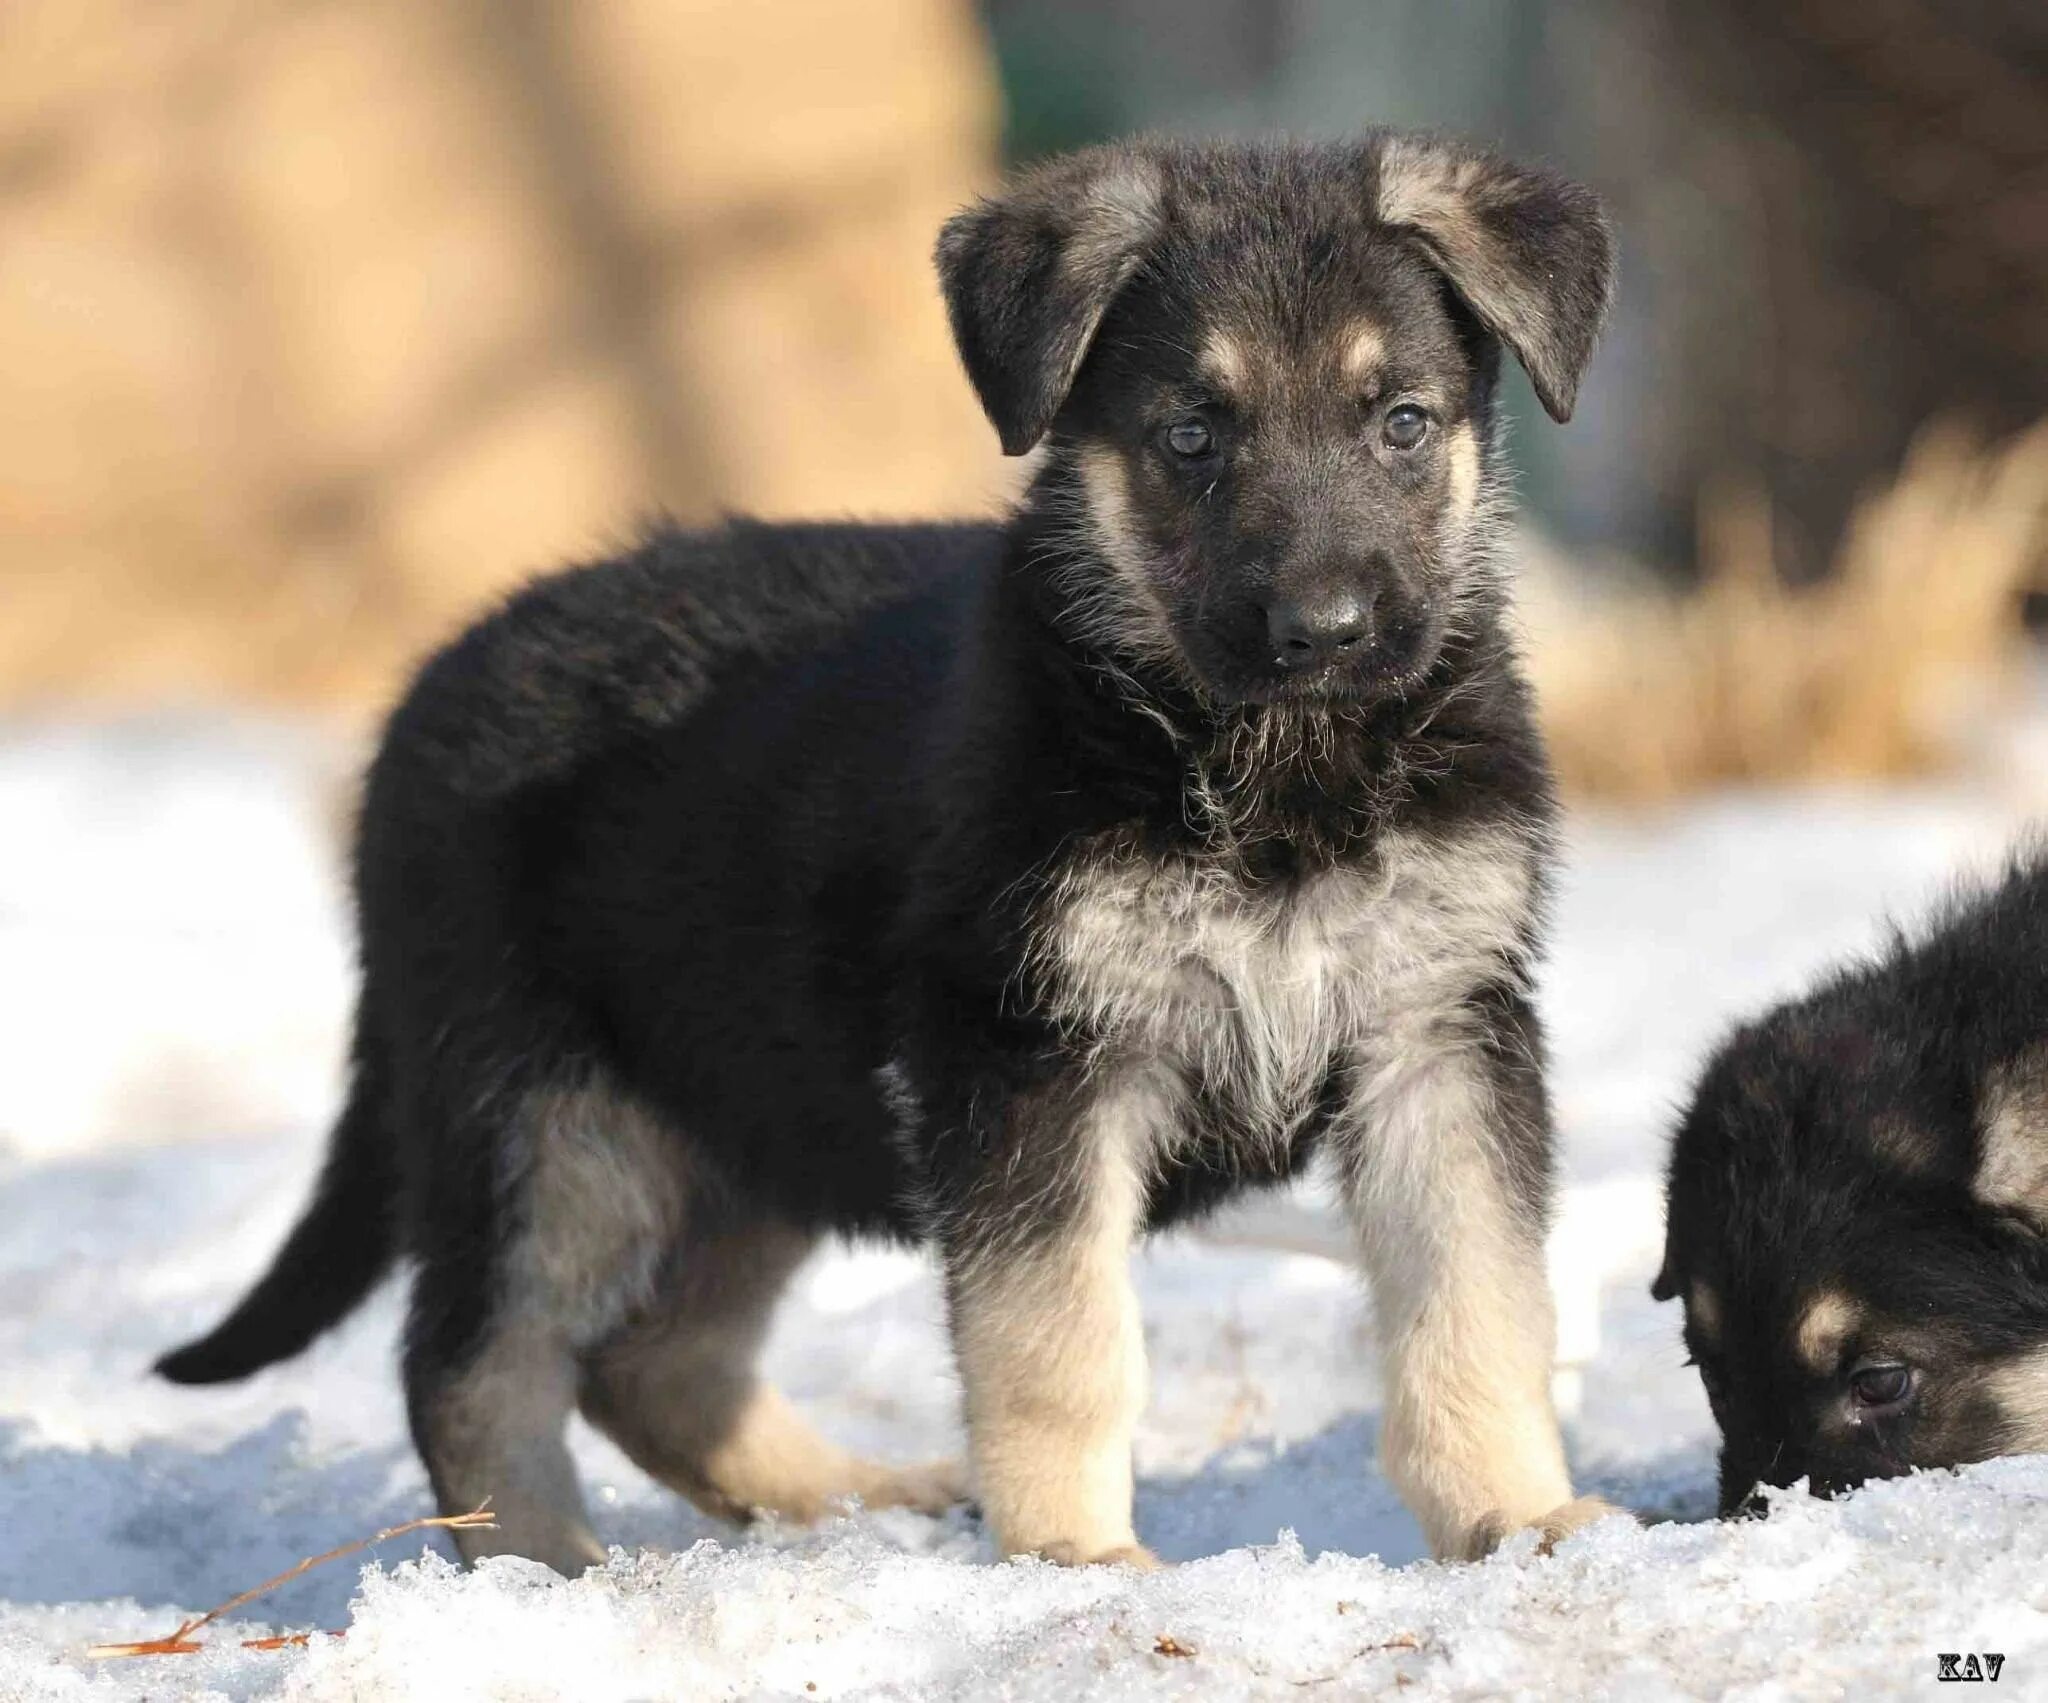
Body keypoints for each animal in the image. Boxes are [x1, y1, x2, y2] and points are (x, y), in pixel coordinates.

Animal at [159, 133, 1622, 1572]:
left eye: (1402, 422)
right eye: (1191, 435)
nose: (1325, 630)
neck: (1278, 769)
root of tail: (423, 695)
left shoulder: (1436, 1033)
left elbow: (1474, 1305)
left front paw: (1515, 1515)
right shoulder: (1029, 1057)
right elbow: (1057, 1336)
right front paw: (1075, 1552)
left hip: (746, 1112)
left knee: (655, 1358)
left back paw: (853, 1503)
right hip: (548, 1120)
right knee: (474, 1361)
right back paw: (541, 1568)